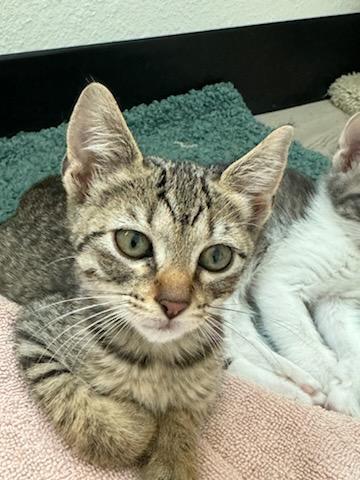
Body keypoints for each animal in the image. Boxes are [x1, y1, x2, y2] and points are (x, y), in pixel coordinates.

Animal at [0, 82, 292, 476]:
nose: (174, 303)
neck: (156, 359)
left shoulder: (209, 374)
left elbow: (186, 412)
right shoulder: (36, 323)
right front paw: (136, 423)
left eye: (217, 257)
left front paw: (173, 456)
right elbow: (71, 396)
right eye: (133, 243)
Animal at [225, 112, 360, 416]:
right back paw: (298, 389)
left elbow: (350, 336)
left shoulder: (339, 299)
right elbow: (302, 338)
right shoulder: (278, 278)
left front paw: (350, 382)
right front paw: (332, 381)